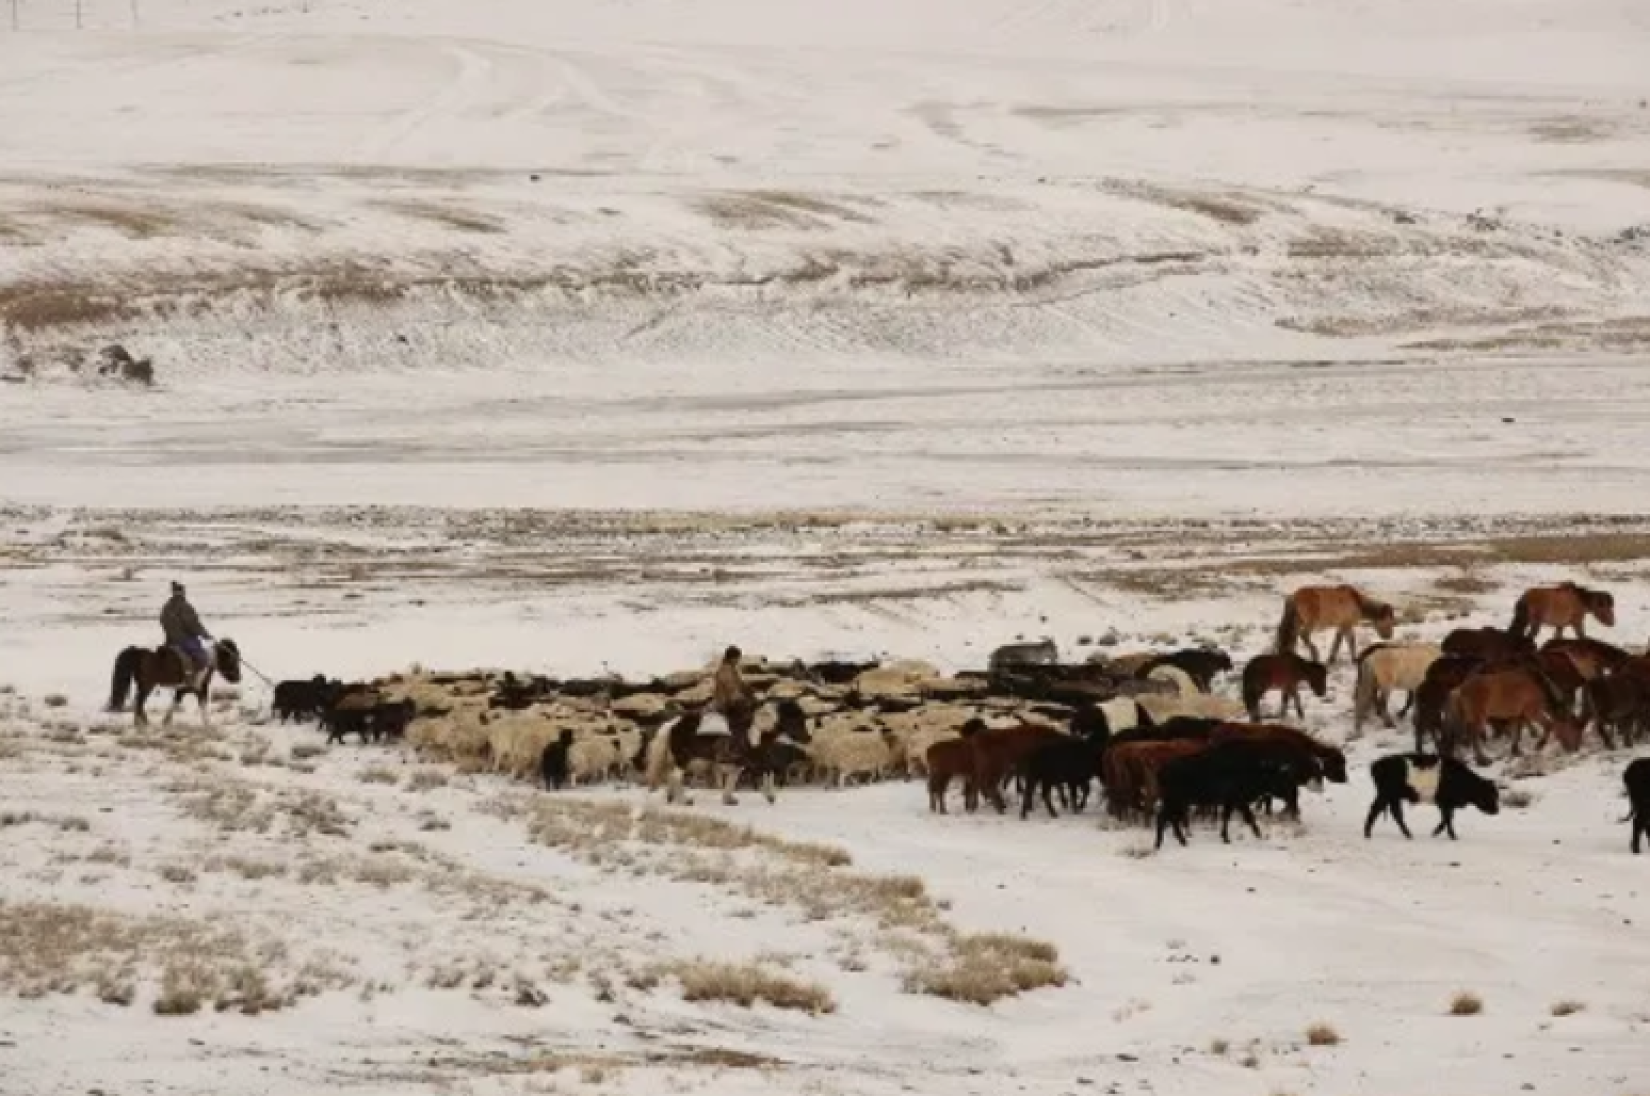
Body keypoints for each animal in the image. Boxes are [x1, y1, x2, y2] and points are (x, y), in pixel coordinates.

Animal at [1359, 752, 1504, 838]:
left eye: (1496, 795)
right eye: (1489, 794)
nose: (1497, 811)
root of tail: (1376, 764)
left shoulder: (1446, 804)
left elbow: (1448, 817)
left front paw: (1439, 833)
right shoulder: (1444, 802)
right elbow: (1448, 818)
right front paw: (1449, 835)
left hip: (1392, 796)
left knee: (1395, 814)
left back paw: (1407, 834)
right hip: (1386, 794)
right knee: (1376, 810)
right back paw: (1368, 834)